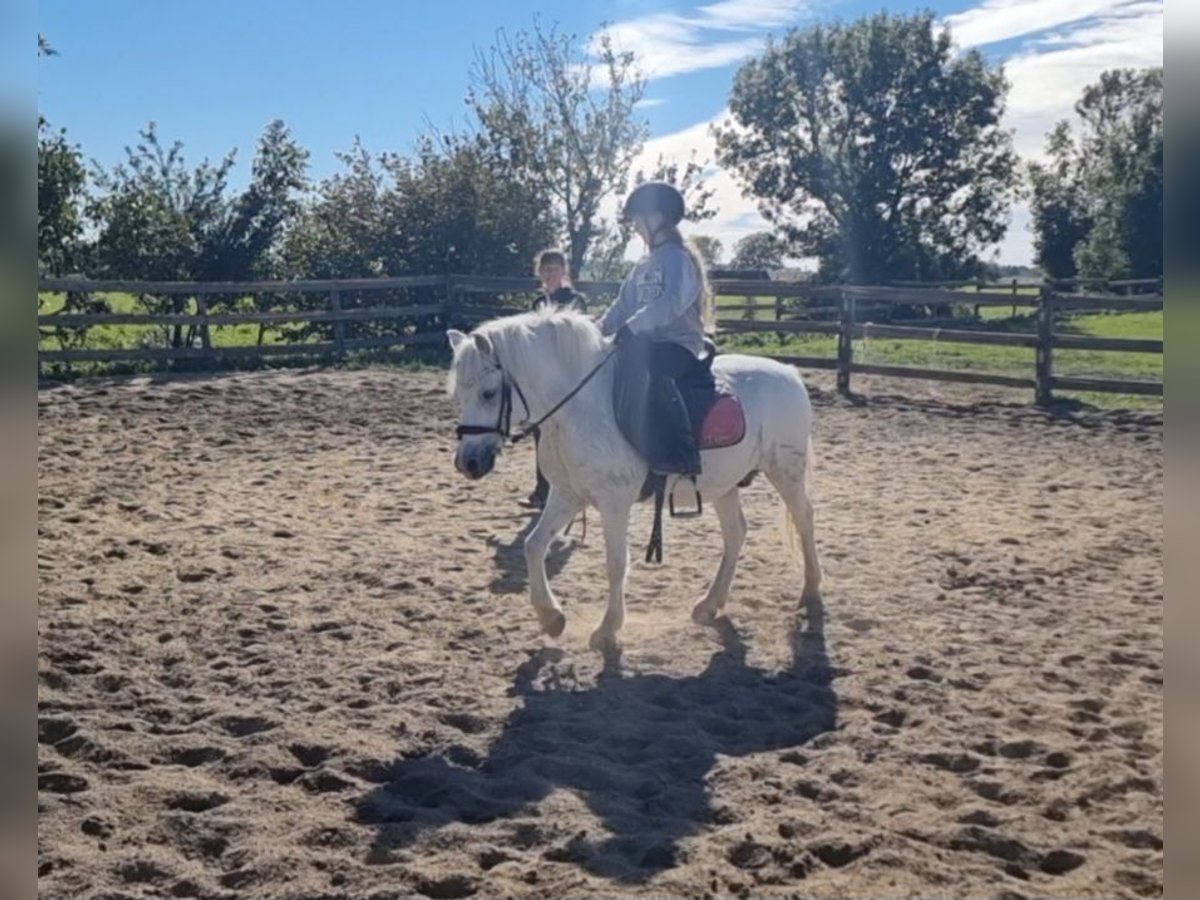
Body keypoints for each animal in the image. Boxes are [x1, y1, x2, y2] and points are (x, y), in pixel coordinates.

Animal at [446, 308, 821, 652]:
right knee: (736, 534)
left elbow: (615, 564)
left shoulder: (614, 502)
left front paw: (607, 628)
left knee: (804, 519)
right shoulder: (567, 494)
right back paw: (709, 604)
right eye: (459, 396)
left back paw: (811, 590)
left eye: (488, 393)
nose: (468, 462)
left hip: (785, 471)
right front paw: (551, 617)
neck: (579, 408)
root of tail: (788, 373)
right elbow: (534, 545)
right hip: (724, 484)